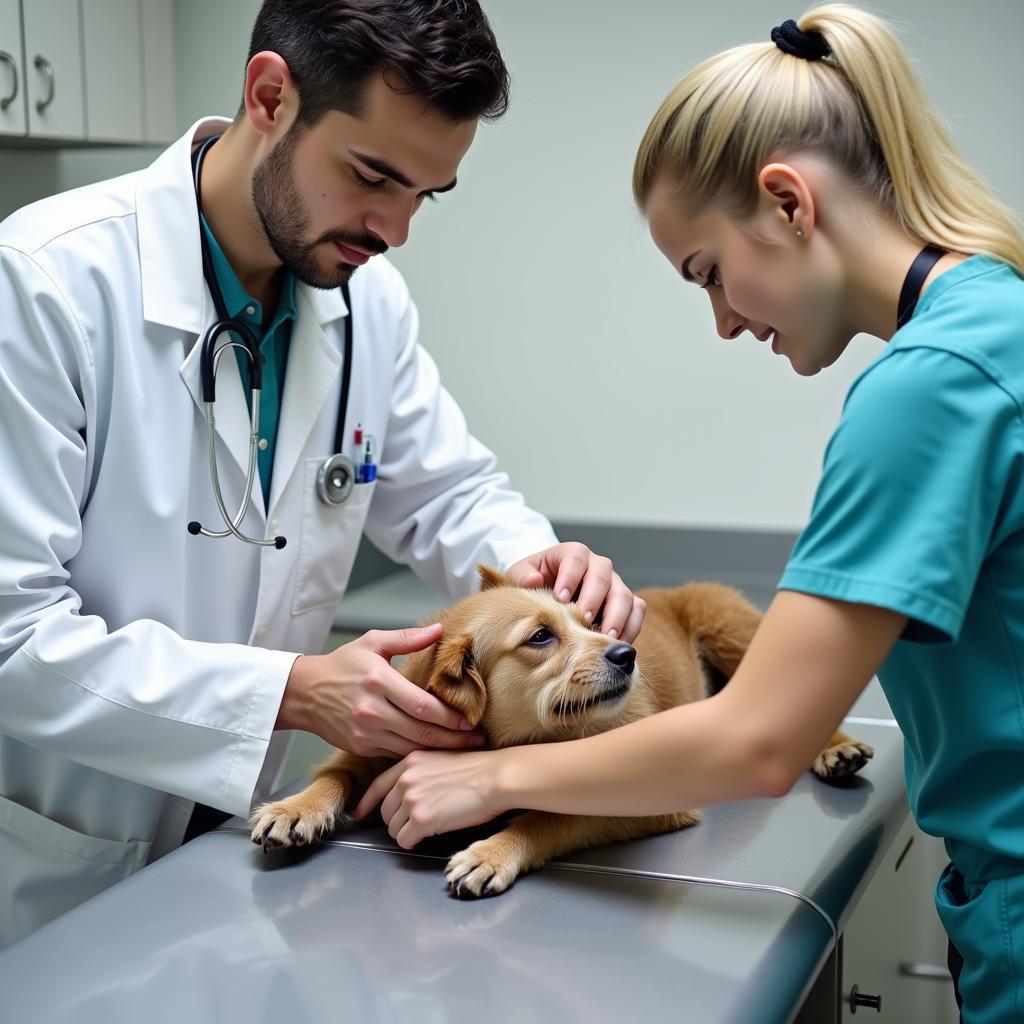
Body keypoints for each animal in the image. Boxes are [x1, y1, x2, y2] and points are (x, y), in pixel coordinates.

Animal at [249, 569, 872, 897]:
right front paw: (295, 808)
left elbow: (546, 816)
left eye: (592, 622)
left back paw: (837, 749)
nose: (627, 653)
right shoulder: (374, 743)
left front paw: (494, 851)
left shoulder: (646, 799)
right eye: (541, 637)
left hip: (734, 631)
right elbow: (338, 772)